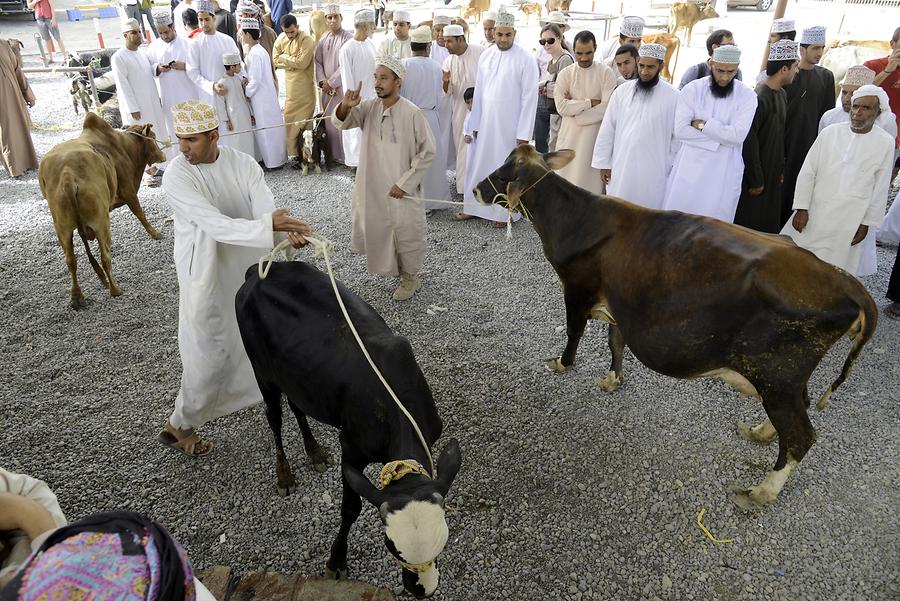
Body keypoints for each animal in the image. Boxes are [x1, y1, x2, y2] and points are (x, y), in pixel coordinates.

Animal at [39, 112, 167, 308]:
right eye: (152, 137)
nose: (162, 155)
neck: (123, 146)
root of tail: (68, 174)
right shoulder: (128, 190)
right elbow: (140, 213)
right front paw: (155, 233)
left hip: (63, 229)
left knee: (71, 260)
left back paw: (77, 297)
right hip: (100, 221)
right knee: (104, 256)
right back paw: (115, 289)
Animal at [237, 258, 464, 596]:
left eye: (443, 542)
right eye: (392, 546)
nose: (422, 589)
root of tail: (259, 269)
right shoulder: (352, 447)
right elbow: (351, 508)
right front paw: (336, 561)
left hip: (297, 376)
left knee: (297, 406)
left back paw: (315, 452)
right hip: (262, 370)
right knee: (274, 416)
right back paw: (284, 474)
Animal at [474, 145, 876, 506]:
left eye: (505, 171)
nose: (477, 189)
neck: (578, 219)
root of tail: (846, 281)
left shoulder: (577, 289)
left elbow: (575, 331)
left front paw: (561, 363)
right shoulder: (623, 304)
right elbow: (615, 342)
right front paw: (612, 379)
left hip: (778, 376)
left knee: (800, 437)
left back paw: (762, 490)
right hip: (787, 379)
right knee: (798, 413)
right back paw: (760, 432)